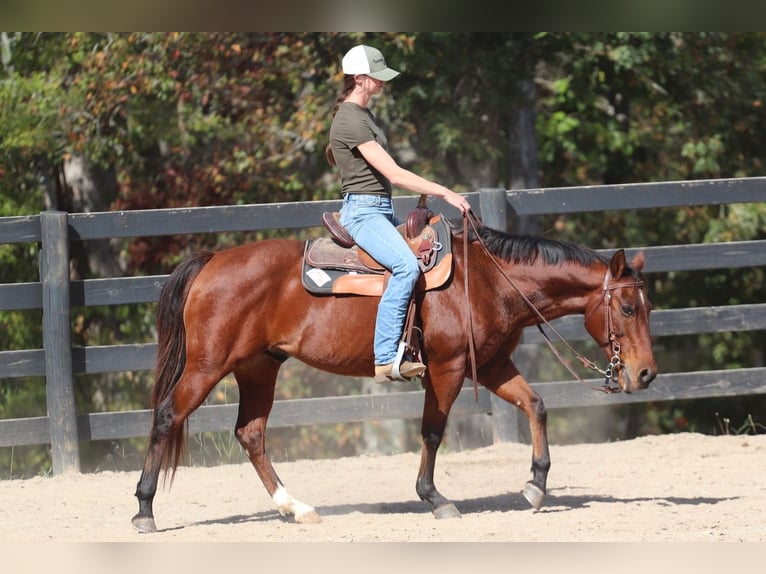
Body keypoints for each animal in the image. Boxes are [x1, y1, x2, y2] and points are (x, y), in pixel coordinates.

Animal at [129, 217, 656, 536]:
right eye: (629, 308)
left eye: (648, 307)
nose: (647, 373)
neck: (488, 281)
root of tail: (212, 261)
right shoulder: (447, 368)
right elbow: (433, 431)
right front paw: (435, 498)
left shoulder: (490, 365)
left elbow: (536, 405)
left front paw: (536, 485)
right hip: (207, 365)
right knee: (167, 416)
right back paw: (145, 509)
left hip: (258, 367)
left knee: (251, 433)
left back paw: (296, 507)